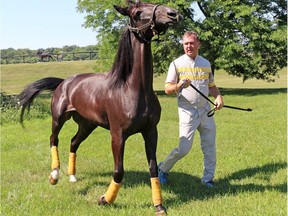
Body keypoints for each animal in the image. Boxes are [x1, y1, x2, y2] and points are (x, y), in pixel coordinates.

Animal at [18, 0, 181, 213]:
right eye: (137, 12)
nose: (173, 14)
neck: (131, 89)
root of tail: (64, 82)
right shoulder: (118, 135)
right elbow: (118, 170)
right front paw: (104, 199)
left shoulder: (151, 131)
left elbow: (153, 167)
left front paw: (159, 206)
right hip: (58, 119)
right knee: (54, 139)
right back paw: (54, 176)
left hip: (87, 125)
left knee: (73, 142)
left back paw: (72, 176)